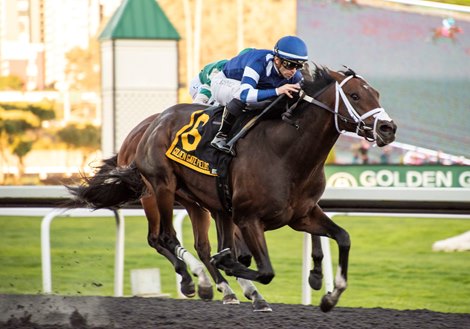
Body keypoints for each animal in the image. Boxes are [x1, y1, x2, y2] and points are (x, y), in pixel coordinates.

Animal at [69, 64, 396, 312]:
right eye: (354, 95)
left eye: (377, 94)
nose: (388, 128)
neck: (286, 153)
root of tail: (153, 124)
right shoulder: (249, 218)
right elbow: (263, 269)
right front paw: (231, 267)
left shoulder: (302, 215)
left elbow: (343, 238)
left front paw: (329, 293)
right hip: (159, 189)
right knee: (163, 237)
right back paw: (198, 281)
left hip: (200, 201)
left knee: (199, 244)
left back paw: (228, 288)